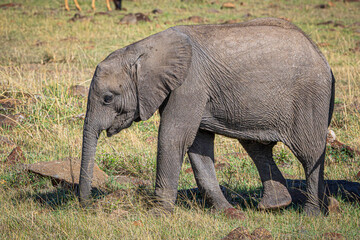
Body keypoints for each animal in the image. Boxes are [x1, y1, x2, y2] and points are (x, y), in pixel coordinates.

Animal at [79, 16, 334, 216]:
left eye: (108, 98)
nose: (87, 206)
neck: (143, 49)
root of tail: (320, 54)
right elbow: (197, 146)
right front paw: (228, 212)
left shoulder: (190, 84)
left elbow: (173, 138)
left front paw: (157, 214)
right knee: (256, 147)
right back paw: (277, 206)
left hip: (310, 98)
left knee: (309, 152)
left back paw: (311, 214)